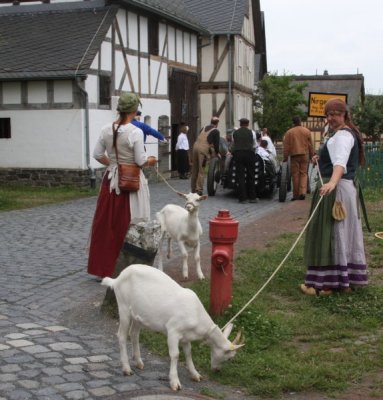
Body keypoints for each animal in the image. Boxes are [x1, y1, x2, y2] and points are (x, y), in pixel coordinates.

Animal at [101, 266, 243, 390]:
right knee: (122, 335)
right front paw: (175, 382)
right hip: (123, 307)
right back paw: (126, 369)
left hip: (138, 315)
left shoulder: (186, 337)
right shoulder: (173, 331)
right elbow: (175, 355)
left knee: (134, 333)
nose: (216, 370)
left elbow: (188, 353)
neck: (197, 315)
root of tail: (117, 279)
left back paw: (139, 362)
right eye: (230, 358)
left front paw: (195, 374)